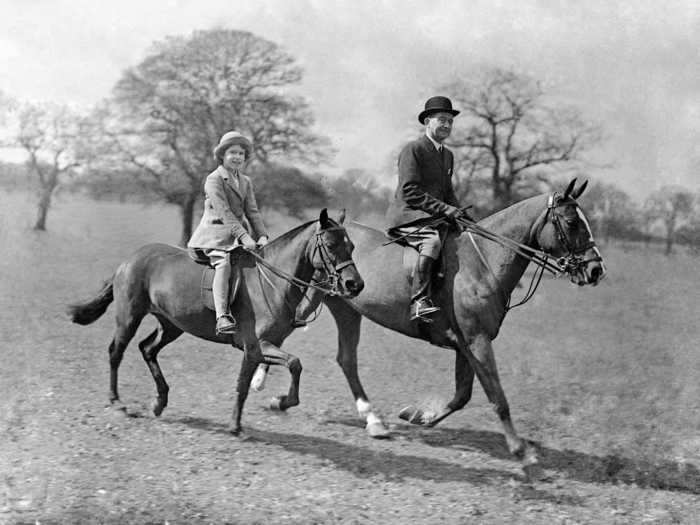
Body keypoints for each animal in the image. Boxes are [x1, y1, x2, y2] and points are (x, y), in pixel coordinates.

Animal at [67, 209, 364, 434]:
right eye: (330, 245)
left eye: (351, 246)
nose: (355, 285)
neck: (273, 282)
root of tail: (128, 260)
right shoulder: (255, 346)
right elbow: (256, 379)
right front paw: (242, 422)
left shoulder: (266, 346)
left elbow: (286, 367)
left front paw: (277, 403)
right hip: (129, 316)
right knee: (116, 352)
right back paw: (117, 402)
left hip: (172, 325)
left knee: (147, 349)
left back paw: (159, 402)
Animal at [252, 179, 608, 466]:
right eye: (572, 222)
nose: (596, 270)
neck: (483, 263)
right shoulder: (477, 340)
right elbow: (496, 395)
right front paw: (521, 450)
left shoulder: (466, 344)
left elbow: (462, 395)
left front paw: (419, 416)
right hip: (317, 298)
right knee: (286, 332)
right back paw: (265, 383)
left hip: (346, 309)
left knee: (343, 358)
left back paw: (370, 419)